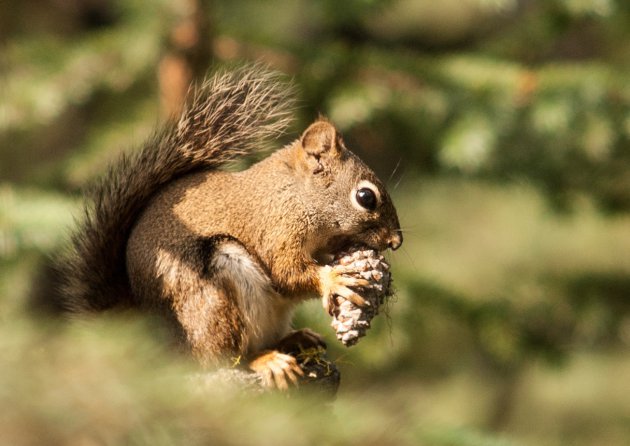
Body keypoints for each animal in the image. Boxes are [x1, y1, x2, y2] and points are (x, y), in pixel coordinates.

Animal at [59, 65, 404, 386]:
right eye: (365, 197)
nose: (396, 242)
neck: (295, 196)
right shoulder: (274, 230)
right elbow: (287, 272)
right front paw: (335, 278)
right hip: (215, 298)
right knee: (223, 359)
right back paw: (266, 360)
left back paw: (295, 339)